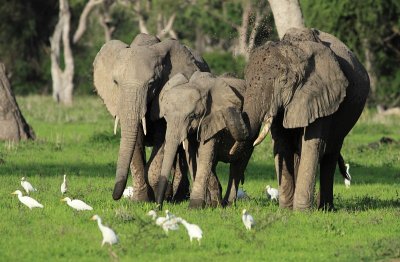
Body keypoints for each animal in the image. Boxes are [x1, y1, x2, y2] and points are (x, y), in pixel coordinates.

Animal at [93, 33, 209, 202]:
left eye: (151, 83)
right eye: (116, 82)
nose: (115, 196)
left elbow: (162, 139)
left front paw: (153, 195)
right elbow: (135, 139)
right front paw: (140, 200)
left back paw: (178, 196)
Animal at [152, 71, 248, 209]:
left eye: (193, 116)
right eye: (165, 117)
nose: (158, 207)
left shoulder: (212, 120)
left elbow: (205, 153)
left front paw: (194, 207)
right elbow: (191, 154)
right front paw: (206, 205)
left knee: (239, 163)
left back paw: (226, 204)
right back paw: (216, 203)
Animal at [231, 27, 368, 211]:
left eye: (283, 81)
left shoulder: (323, 97)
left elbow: (312, 143)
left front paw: (301, 211)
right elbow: (282, 144)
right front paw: (286, 209)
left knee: (330, 155)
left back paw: (325, 208)